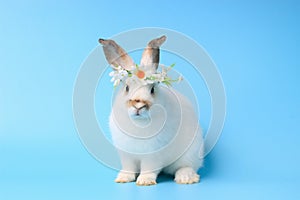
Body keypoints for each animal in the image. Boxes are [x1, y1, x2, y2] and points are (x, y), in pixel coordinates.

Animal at [98, 36, 204, 186]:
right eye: (127, 88)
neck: (139, 123)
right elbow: (129, 167)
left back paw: (186, 178)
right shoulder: (126, 155)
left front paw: (145, 181)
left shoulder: (153, 155)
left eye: (152, 89)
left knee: (187, 166)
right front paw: (123, 178)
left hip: (190, 152)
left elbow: (149, 168)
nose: (138, 105)